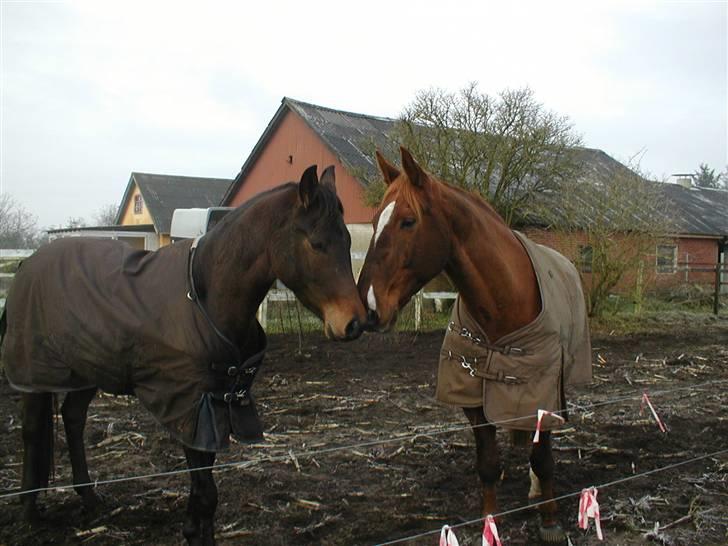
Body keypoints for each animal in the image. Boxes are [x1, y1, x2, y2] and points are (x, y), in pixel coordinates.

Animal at [0, 165, 364, 544]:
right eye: (317, 244)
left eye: (348, 241)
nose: (354, 323)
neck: (207, 295)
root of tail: (27, 264)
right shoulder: (190, 405)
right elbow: (205, 490)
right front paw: (193, 533)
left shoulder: (215, 402)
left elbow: (206, 492)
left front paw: (201, 533)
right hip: (35, 376)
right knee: (32, 432)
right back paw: (29, 513)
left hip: (86, 370)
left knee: (73, 419)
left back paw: (89, 498)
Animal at [358, 146, 592, 540]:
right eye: (375, 221)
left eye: (408, 221)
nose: (369, 308)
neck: (504, 302)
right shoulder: (475, 400)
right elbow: (488, 464)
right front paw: (490, 525)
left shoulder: (541, 392)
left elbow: (543, 457)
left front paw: (549, 521)